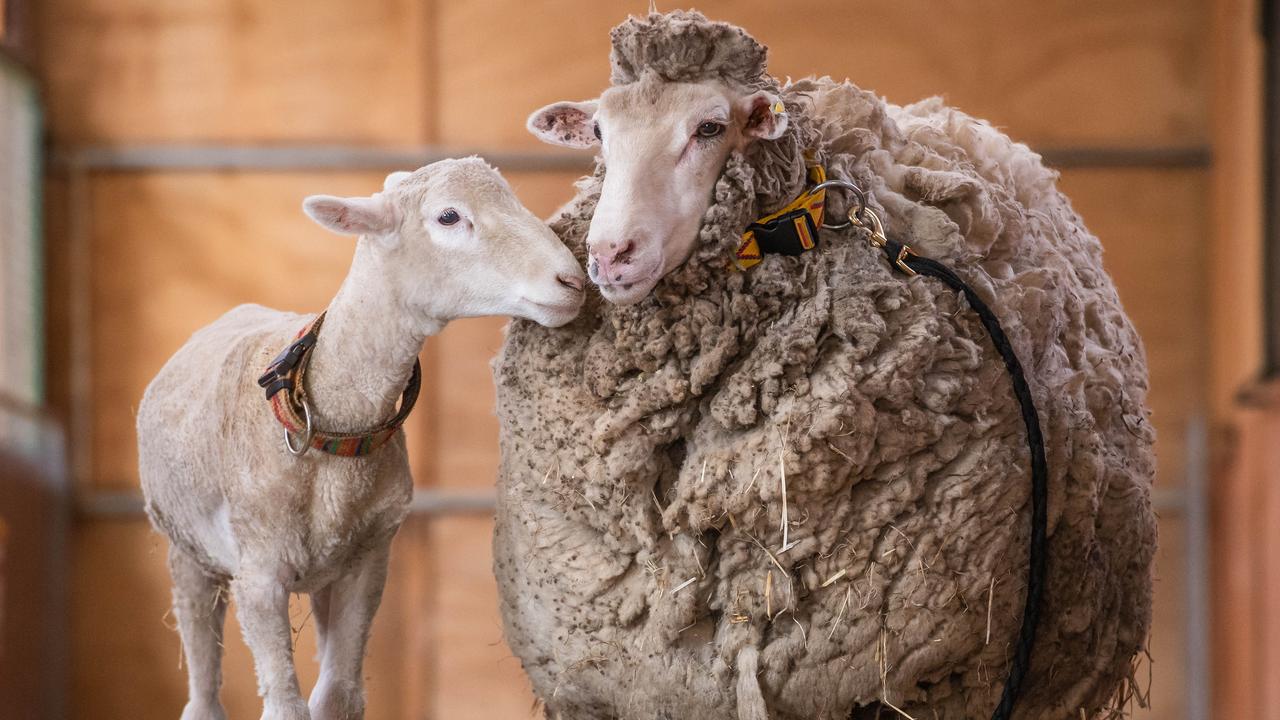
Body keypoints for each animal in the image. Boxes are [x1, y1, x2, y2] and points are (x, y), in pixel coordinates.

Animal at [136, 157, 585, 720]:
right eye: (448, 216)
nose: (573, 279)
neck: (336, 431)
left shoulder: (369, 560)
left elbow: (337, 697)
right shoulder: (258, 575)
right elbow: (286, 708)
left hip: (325, 567)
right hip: (188, 552)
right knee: (201, 695)